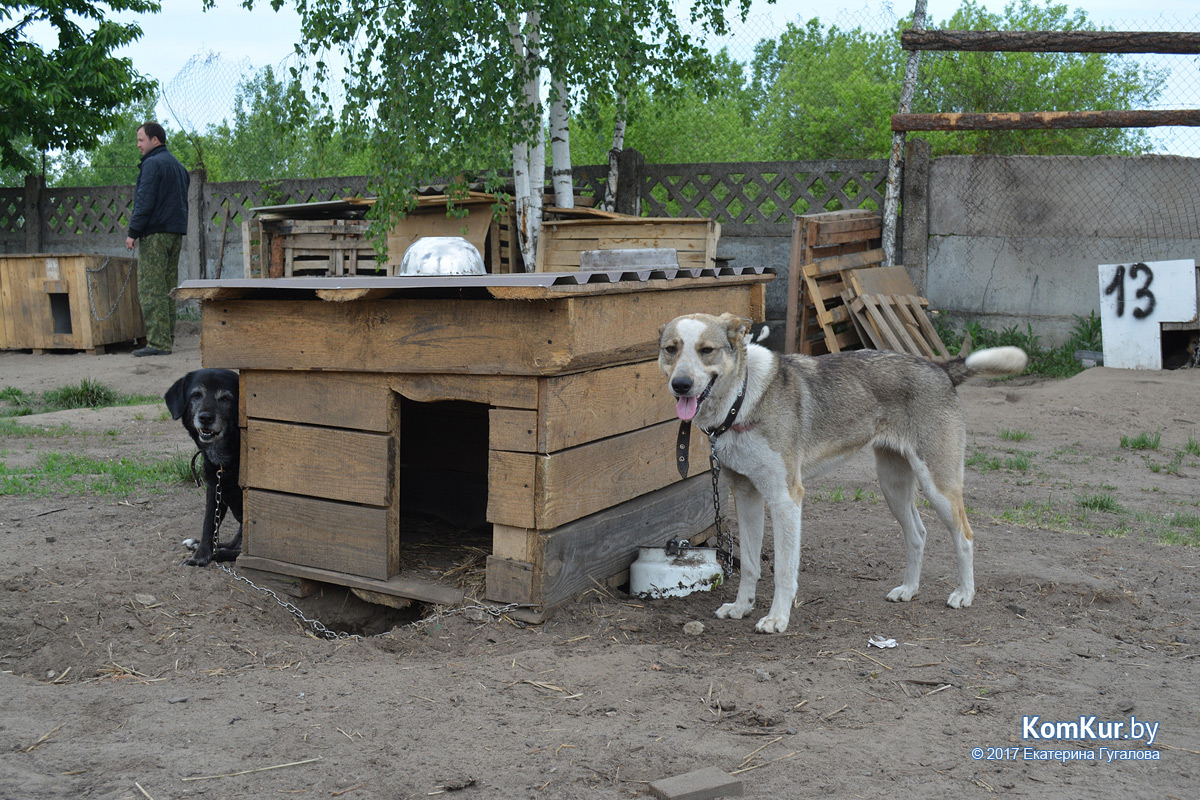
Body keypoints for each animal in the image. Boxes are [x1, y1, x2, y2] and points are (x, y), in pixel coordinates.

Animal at [164, 371, 243, 568]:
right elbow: (209, 526)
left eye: (226, 398)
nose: (205, 418)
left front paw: (205, 556)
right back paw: (198, 544)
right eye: (196, 395)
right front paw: (200, 555)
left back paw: (220, 553)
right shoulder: (215, 487)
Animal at [662, 311, 1027, 633]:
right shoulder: (746, 494)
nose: (681, 385)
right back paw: (909, 590)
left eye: (706, 350)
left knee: (965, 535)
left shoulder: (785, 499)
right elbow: (750, 564)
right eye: (671, 348)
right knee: (918, 533)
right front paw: (741, 607)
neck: (744, 397)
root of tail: (939, 368)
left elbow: (783, 570)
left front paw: (777, 619)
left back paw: (964, 594)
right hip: (893, 486)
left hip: (939, 487)